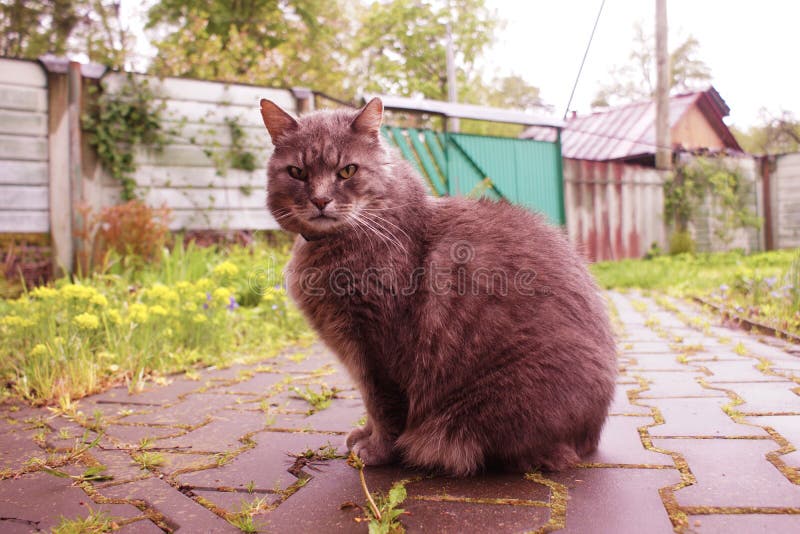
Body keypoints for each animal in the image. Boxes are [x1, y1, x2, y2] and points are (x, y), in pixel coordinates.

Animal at [260, 97, 616, 478]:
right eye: (297, 172)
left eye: (347, 171)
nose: (320, 200)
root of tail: (592, 434)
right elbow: (370, 404)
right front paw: (363, 435)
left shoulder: (379, 347)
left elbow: (382, 404)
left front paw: (376, 449)